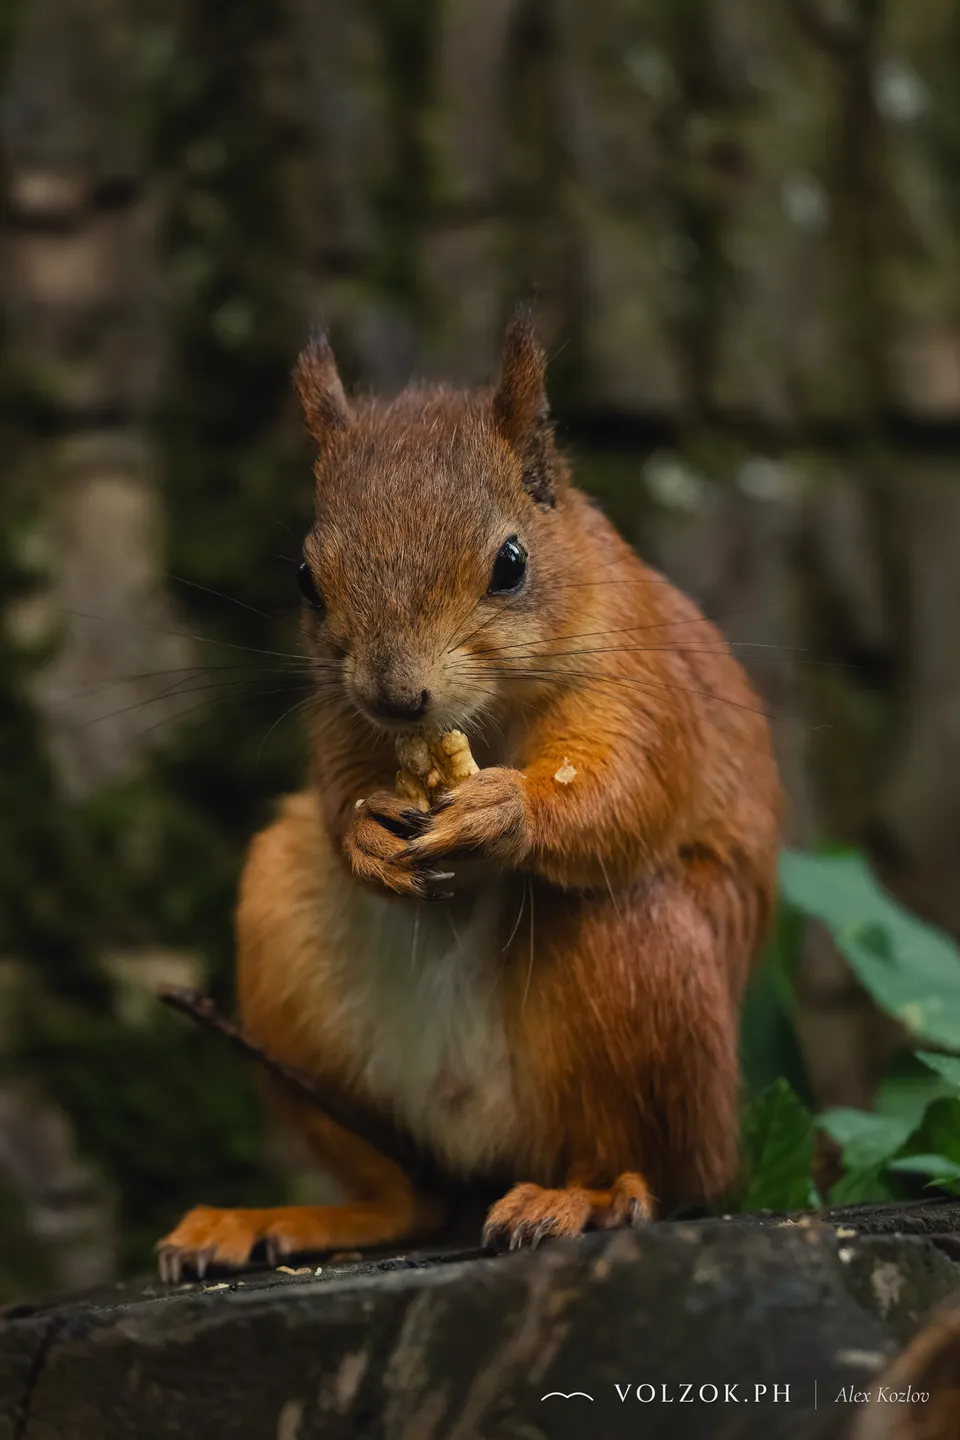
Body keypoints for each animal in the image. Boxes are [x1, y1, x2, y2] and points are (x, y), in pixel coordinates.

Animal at [157, 308, 782, 1279]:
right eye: (305, 578)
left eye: (512, 563)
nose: (395, 694)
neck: (482, 718)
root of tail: (484, 1141)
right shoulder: (339, 713)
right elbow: (339, 790)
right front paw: (368, 831)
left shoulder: (642, 678)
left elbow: (628, 786)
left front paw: (507, 811)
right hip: (289, 961)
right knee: (402, 1199)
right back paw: (281, 1220)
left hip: (644, 970)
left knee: (660, 1165)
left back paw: (585, 1197)